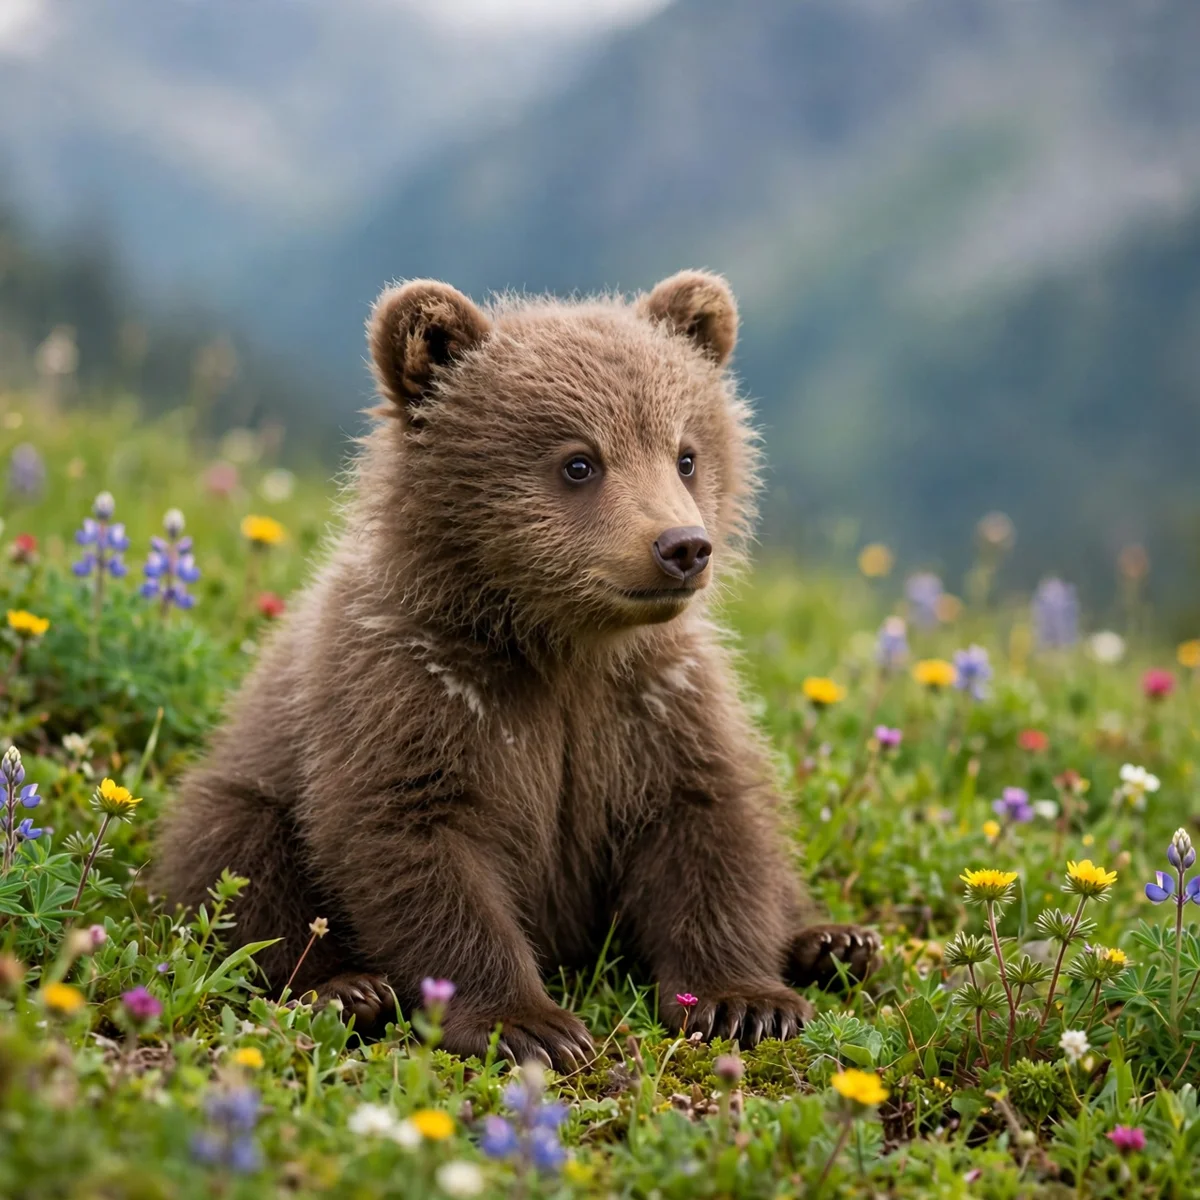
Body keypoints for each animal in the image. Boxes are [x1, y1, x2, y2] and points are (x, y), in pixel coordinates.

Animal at [154, 270, 879, 1069]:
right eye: (579, 462)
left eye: (686, 454)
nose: (682, 546)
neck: (560, 647)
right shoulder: (407, 687)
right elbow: (415, 843)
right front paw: (530, 1023)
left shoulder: (657, 702)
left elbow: (708, 828)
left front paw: (747, 1001)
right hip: (251, 790)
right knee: (240, 862)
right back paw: (345, 989)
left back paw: (832, 941)